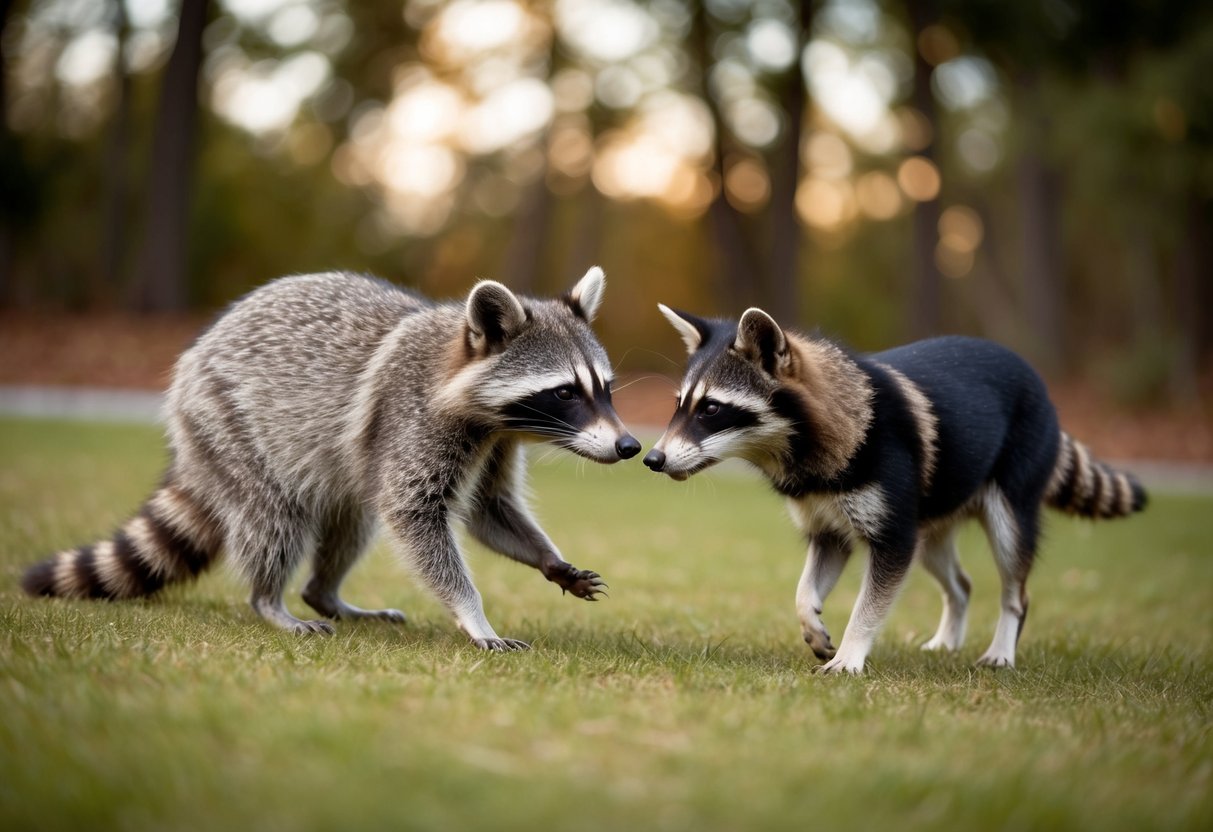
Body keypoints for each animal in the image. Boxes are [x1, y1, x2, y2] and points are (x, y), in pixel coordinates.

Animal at [22, 268, 641, 651]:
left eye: (605, 388)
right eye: (565, 392)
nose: (629, 446)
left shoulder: (496, 441)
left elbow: (489, 509)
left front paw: (548, 559)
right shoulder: (410, 417)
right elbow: (414, 516)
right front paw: (473, 614)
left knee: (353, 517)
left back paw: (325, 594)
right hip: (228, 421)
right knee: (275, 520)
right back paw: (269, 600)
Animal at [644, 305, 1146, 673]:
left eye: (711, 409)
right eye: (679, 405)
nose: (652, 459)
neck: (799, 451)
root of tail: (1031, 372)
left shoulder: (890, 519)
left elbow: (872, 602)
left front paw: (852, 651)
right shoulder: (825, 517)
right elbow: (808, 582)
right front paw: (809, 615)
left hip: (1009, 490)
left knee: (1013, 574)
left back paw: (1005, 638)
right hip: (930, 514)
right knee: (958, 582)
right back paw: (950, 632)